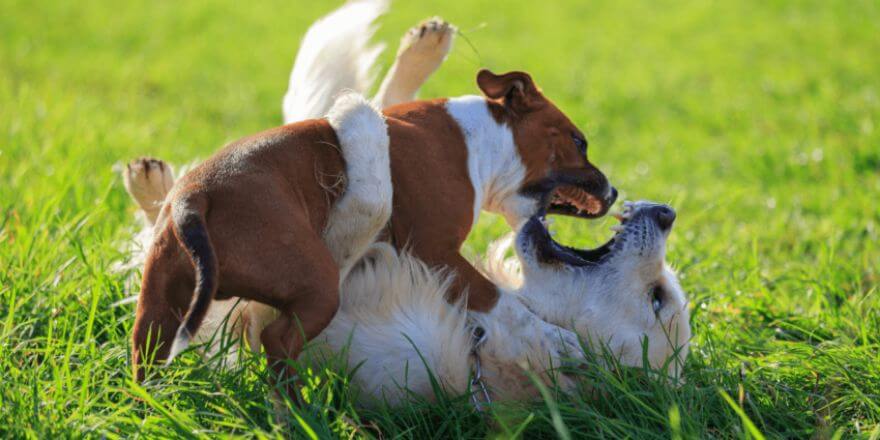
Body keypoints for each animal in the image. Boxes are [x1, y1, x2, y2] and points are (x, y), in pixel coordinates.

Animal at [122, 0, 688, 406]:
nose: (616, 193)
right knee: (278, 343)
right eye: (578, 141)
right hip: (318, 283)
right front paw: (556, 339)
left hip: (162, 300)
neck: (480, 140)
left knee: (147, 349)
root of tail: (193, 202)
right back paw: (300, 410)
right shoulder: (436, 250)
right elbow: (505, 303)